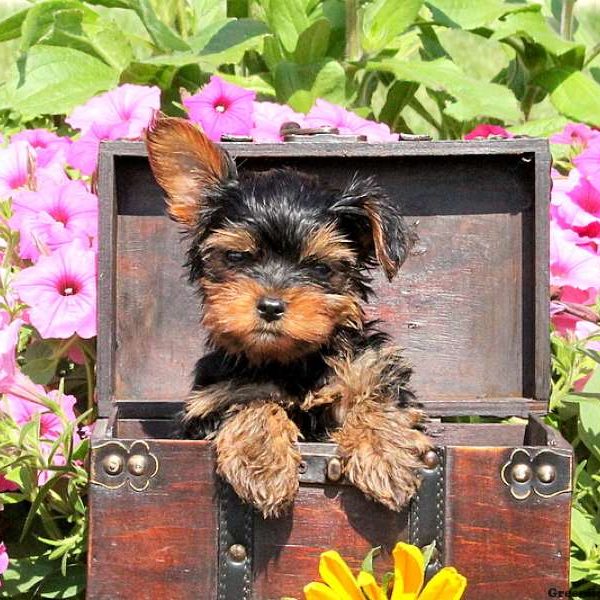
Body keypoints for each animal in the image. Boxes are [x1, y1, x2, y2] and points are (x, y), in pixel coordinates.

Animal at [148, 115, 434, 516]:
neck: (292, 362)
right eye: (236, 257)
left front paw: (386, 453)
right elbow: (255, 402)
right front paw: (263, 465)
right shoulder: (213, 401)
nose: (271, 305)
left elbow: (378, 400)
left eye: (319, 267)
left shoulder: (371, 370)